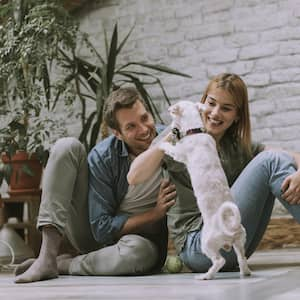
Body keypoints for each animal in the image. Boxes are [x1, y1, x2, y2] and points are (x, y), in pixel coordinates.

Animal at [159, 100, 251, 278]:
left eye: (173, 114)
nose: (171, 129)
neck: (195, 131)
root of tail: (229, 224)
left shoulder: (179, 153)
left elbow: (170, 148)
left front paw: (161, 143)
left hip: (206, 243)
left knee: (219, 261)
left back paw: (205, 276)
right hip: (240, 242)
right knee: (241, 258)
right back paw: (245, 272)